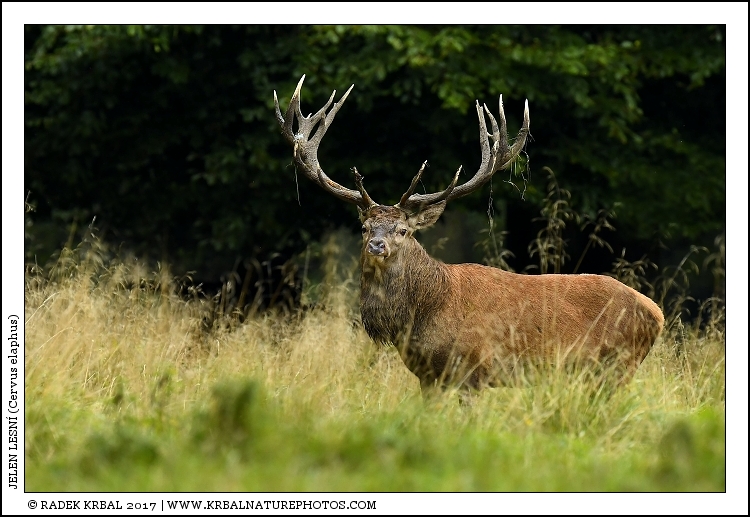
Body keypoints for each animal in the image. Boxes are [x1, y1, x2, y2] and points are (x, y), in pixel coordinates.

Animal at [274, 75, 664, 403]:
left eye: (403, 230)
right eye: (366, 227)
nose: (377, 246)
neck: (424, 313)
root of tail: (657, 313)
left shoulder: (473, 370)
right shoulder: (428, 377)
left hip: (617, 366)